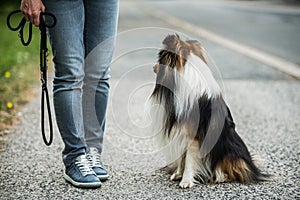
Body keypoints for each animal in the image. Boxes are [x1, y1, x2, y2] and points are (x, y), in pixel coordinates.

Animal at [149, 33, 268, 188]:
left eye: (160, 59)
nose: (153, 67)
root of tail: (252, 165)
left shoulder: (193, 135)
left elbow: (189, 159)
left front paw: (186, 181)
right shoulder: (180, 131)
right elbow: (182, 156)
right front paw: (178, 174)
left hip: (229, 151)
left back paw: (221, 177)